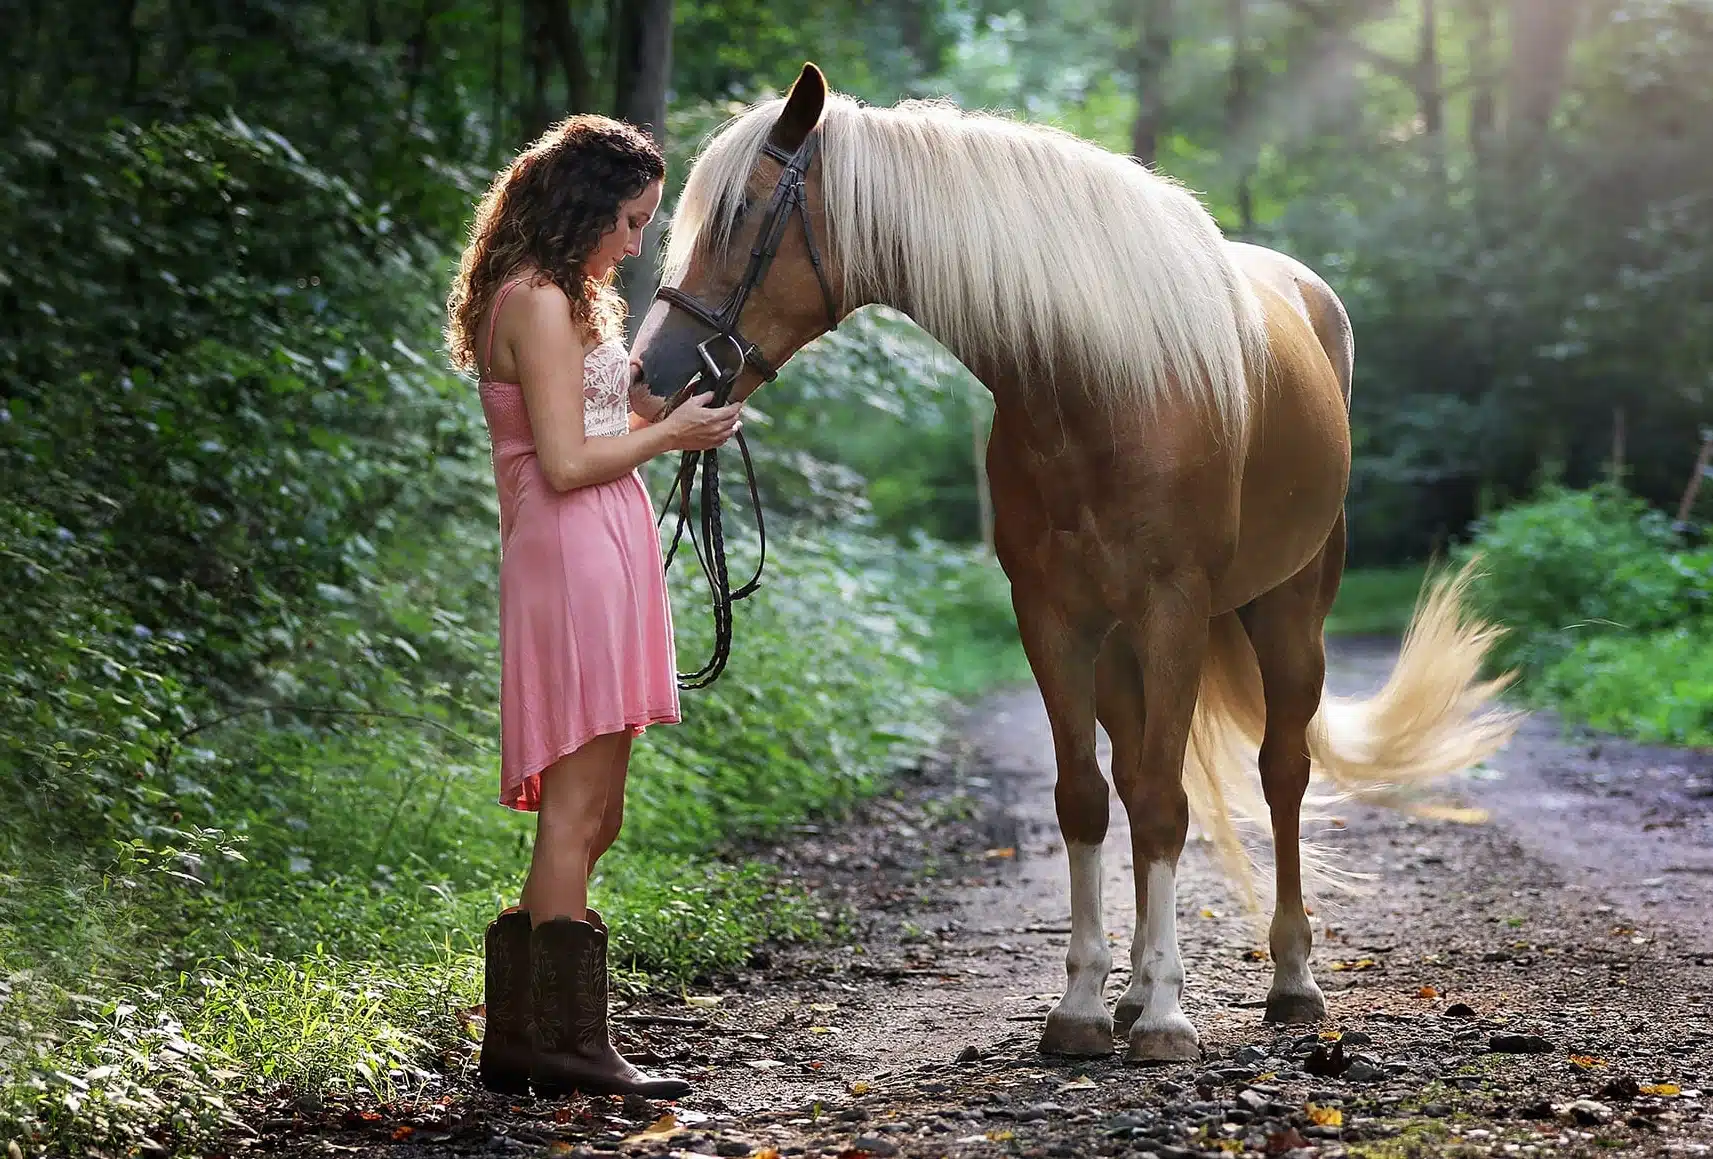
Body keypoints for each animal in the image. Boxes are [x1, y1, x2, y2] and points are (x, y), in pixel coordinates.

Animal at [630, 61, 1514, 1054]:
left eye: (742, 214)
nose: (649, 377)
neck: (1097, 386)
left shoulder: (1172, 610)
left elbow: (1167, 802)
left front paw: (1167, 1016)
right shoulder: (1051, 616)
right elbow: (1087, 798)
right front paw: (1087, 1006)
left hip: (1288, 613)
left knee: (1279, 771)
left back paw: (1289, 979)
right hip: (1124, 644)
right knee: (1133, 775)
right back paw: (1131, 989)